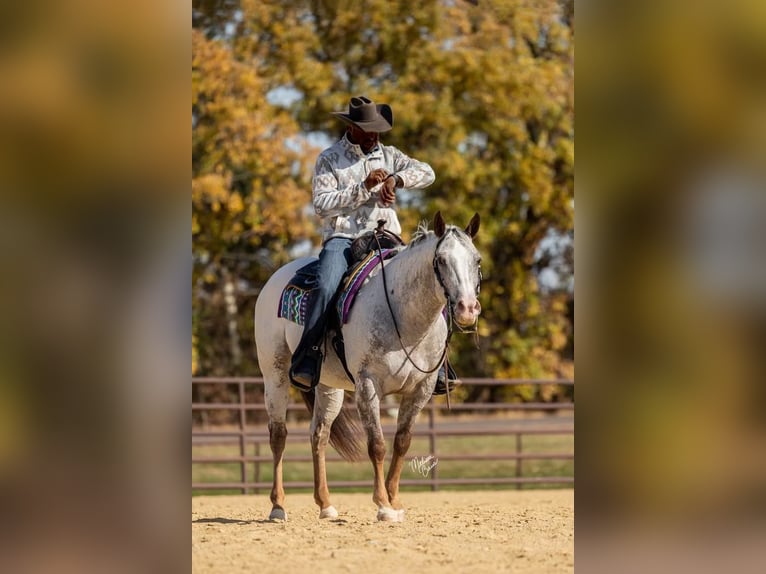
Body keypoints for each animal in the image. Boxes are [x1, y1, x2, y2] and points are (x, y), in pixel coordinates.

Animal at [255, 214, 484, 524]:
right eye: (441, 260)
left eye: (477, 260)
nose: (467, 308)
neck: (404, 316)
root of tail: (276, 277)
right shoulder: (368, 384)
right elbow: (377, 444)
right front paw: (383, 505)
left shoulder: (420, 389)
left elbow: (402, 442)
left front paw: (394, 499)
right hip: (274, 373)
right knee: (278, 435)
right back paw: (278, 506)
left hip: (329, 386)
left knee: (319, 435)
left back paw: (325, 504)